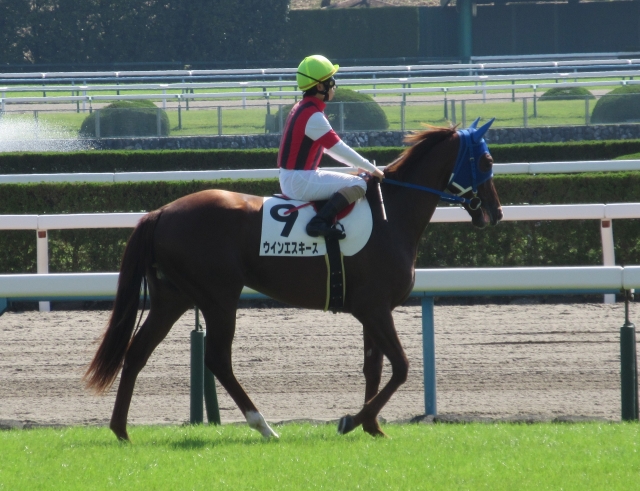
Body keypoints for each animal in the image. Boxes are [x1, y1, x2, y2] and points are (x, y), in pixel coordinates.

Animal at [84, 119, 503, 441]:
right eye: (486, 159)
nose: (496, 213)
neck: (391, 216)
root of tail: (159, 212)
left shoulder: (370, 310)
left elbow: (374, 367)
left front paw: (371, 425)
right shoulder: (376, 308)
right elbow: (400, 366)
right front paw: (353, 420)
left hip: (172, 297)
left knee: (137, 352)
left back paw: (121, 430)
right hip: (219, 296)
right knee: (217, 359)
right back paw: (264, 426)